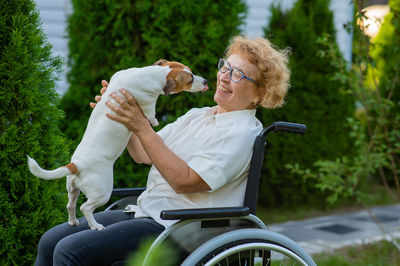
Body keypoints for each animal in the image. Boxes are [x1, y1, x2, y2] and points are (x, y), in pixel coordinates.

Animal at [27, 59, 208, 230]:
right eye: (190, 79)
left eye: (191, 72)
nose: (206, 81)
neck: (153, 73)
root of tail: (77, 165)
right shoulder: (147, 103)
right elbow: (150, 112)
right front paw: (154, 121)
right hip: (102, 193)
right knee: (85, 208)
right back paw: (95, 226)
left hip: (72, 189)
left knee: (70, 205)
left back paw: (72, 221)